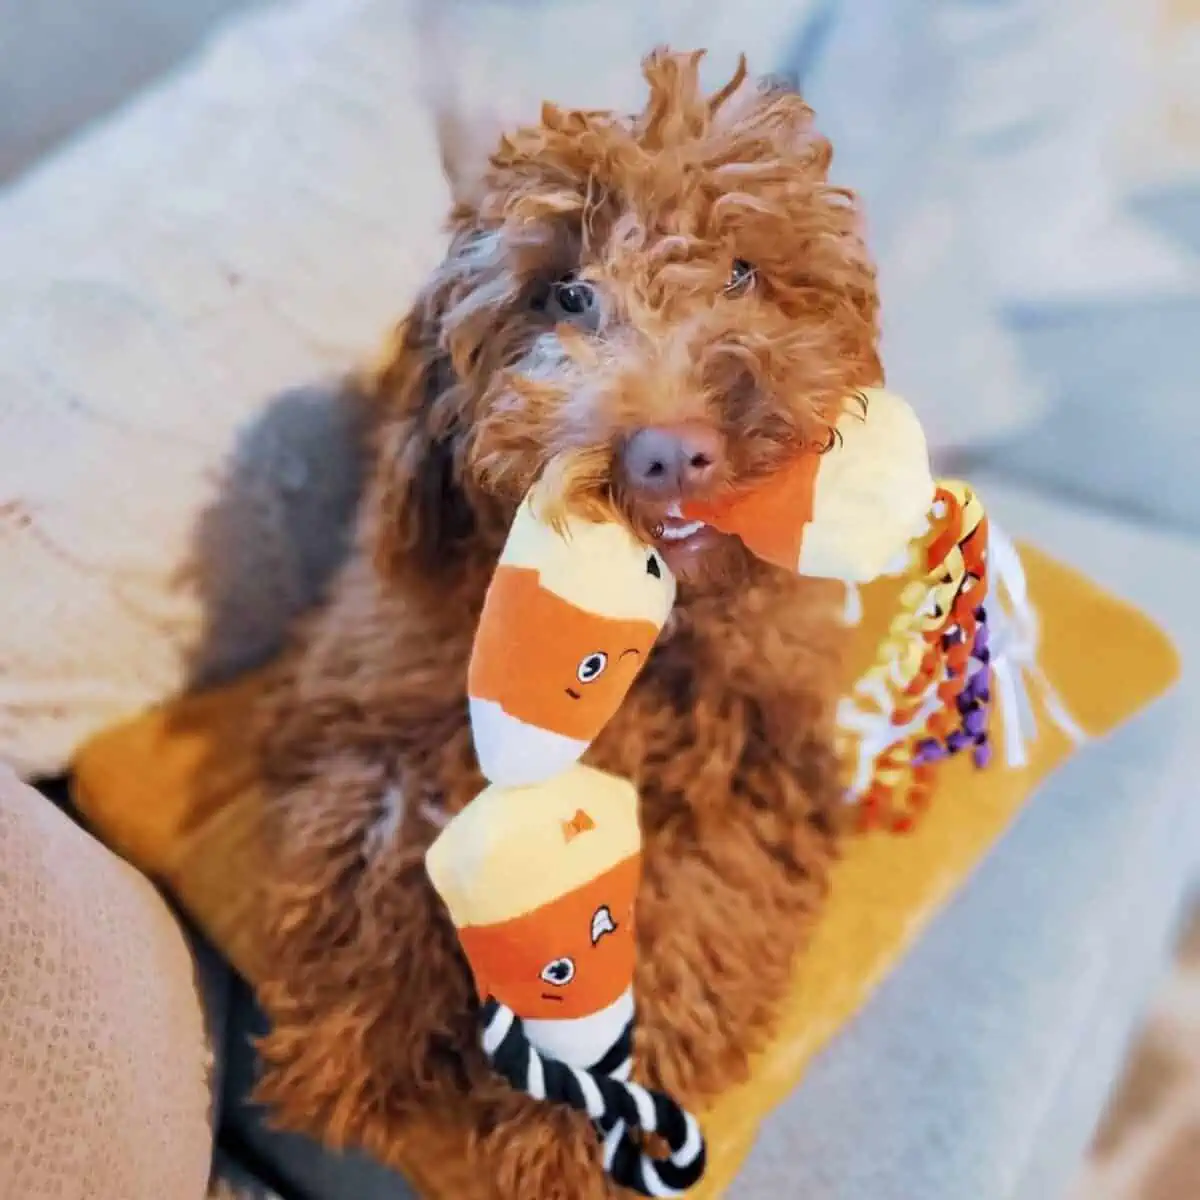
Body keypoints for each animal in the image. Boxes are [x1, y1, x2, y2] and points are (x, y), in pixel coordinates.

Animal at [255, 49, 883, 1200]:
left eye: (742, 273)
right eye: (565, 295)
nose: (668, 452)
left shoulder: (747, 779)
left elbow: (683, 917)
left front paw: (568, 1137)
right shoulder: (376, 688)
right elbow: (382, 835)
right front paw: (356, 1042)